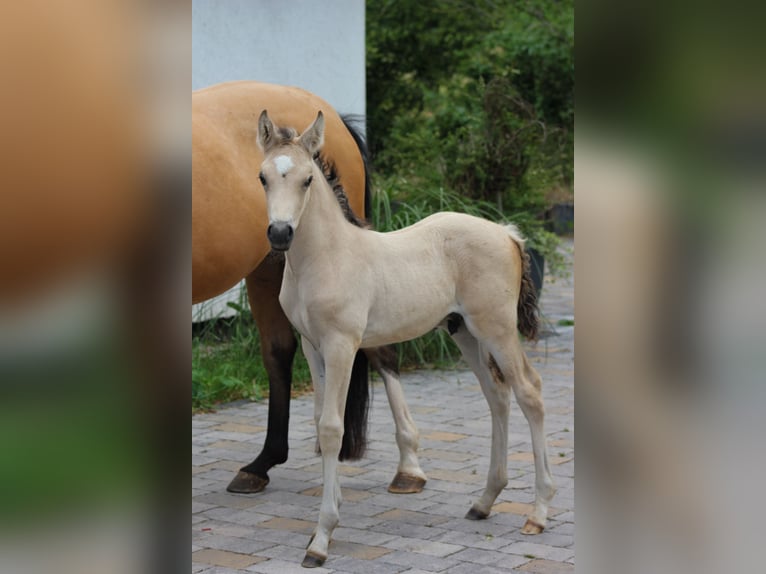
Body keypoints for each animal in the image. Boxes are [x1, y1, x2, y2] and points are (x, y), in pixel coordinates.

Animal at [192, 81, 426, 496]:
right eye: (261, 178)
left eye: (308, 180)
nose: (280, 232)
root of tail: (335, 117)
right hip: (267, 271)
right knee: (279, 352)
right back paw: (261, 465)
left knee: (380, 353)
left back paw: (408, 469)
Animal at [258, 110, 560, 568]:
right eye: (262, 177)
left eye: (307, 179)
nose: (280, 234)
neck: (326, 257)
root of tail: (507, 233)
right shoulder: (312, 345)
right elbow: (319, 421)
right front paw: (331, 515)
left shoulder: (342, 344)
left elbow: (332, 428)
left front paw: (322, 537)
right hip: (464, 332)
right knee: (497, 396)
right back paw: (484, 501)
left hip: (497, 328)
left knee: (530, 392)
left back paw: (538, 513)